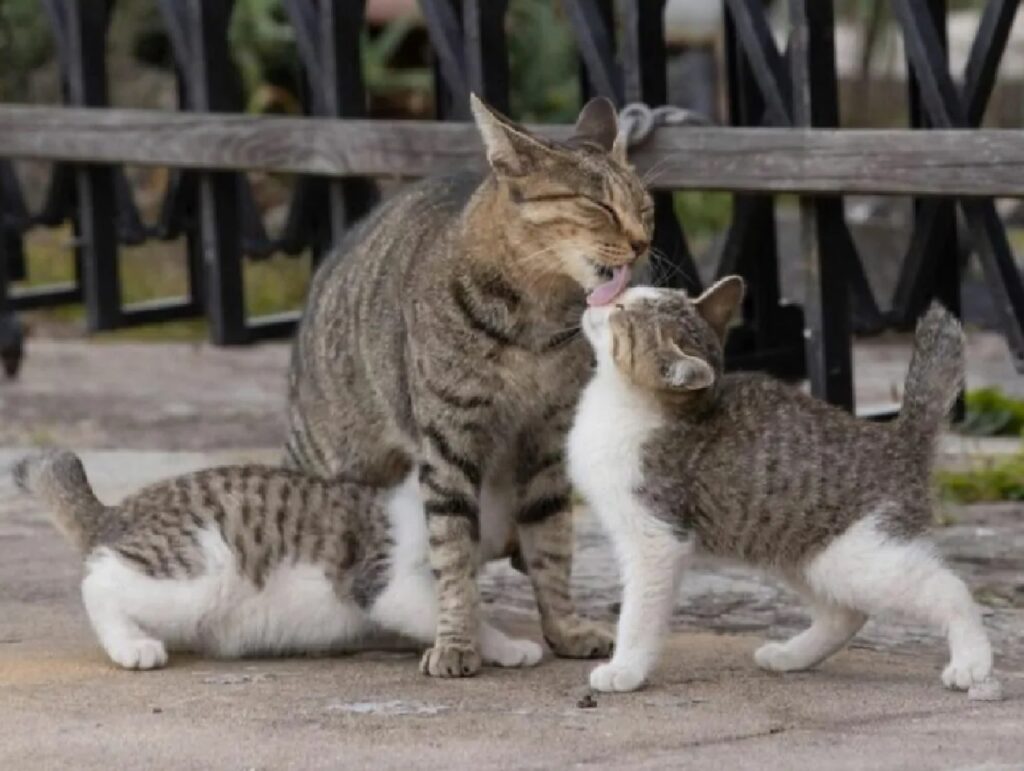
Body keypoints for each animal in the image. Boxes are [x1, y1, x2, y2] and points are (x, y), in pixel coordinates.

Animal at [14, 450, 544, 667]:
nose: (513, 544)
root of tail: (119, 509)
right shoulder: (384, 580)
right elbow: (462, 612)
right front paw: (506, 647)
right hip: (200, 569)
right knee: (99, 582)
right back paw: (131, 645)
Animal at [284, 94, 651, 671]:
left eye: (647, 206)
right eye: (600, 206)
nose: (642, 242)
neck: (536, 323)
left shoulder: (547, 444)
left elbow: (552, 544)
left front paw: (564, 628)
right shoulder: (449, 443)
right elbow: (452, 550)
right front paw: (456, 641)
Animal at [565, 280, 995, 696]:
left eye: (623, 310)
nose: (598, 297)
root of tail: (897, 440)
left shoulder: (657, 539)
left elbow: (639, 613)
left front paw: (625, 669)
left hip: (861, 558)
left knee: (949, 590)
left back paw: (972, 662)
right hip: (796, 549)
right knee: (845, 613)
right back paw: (792, 656)